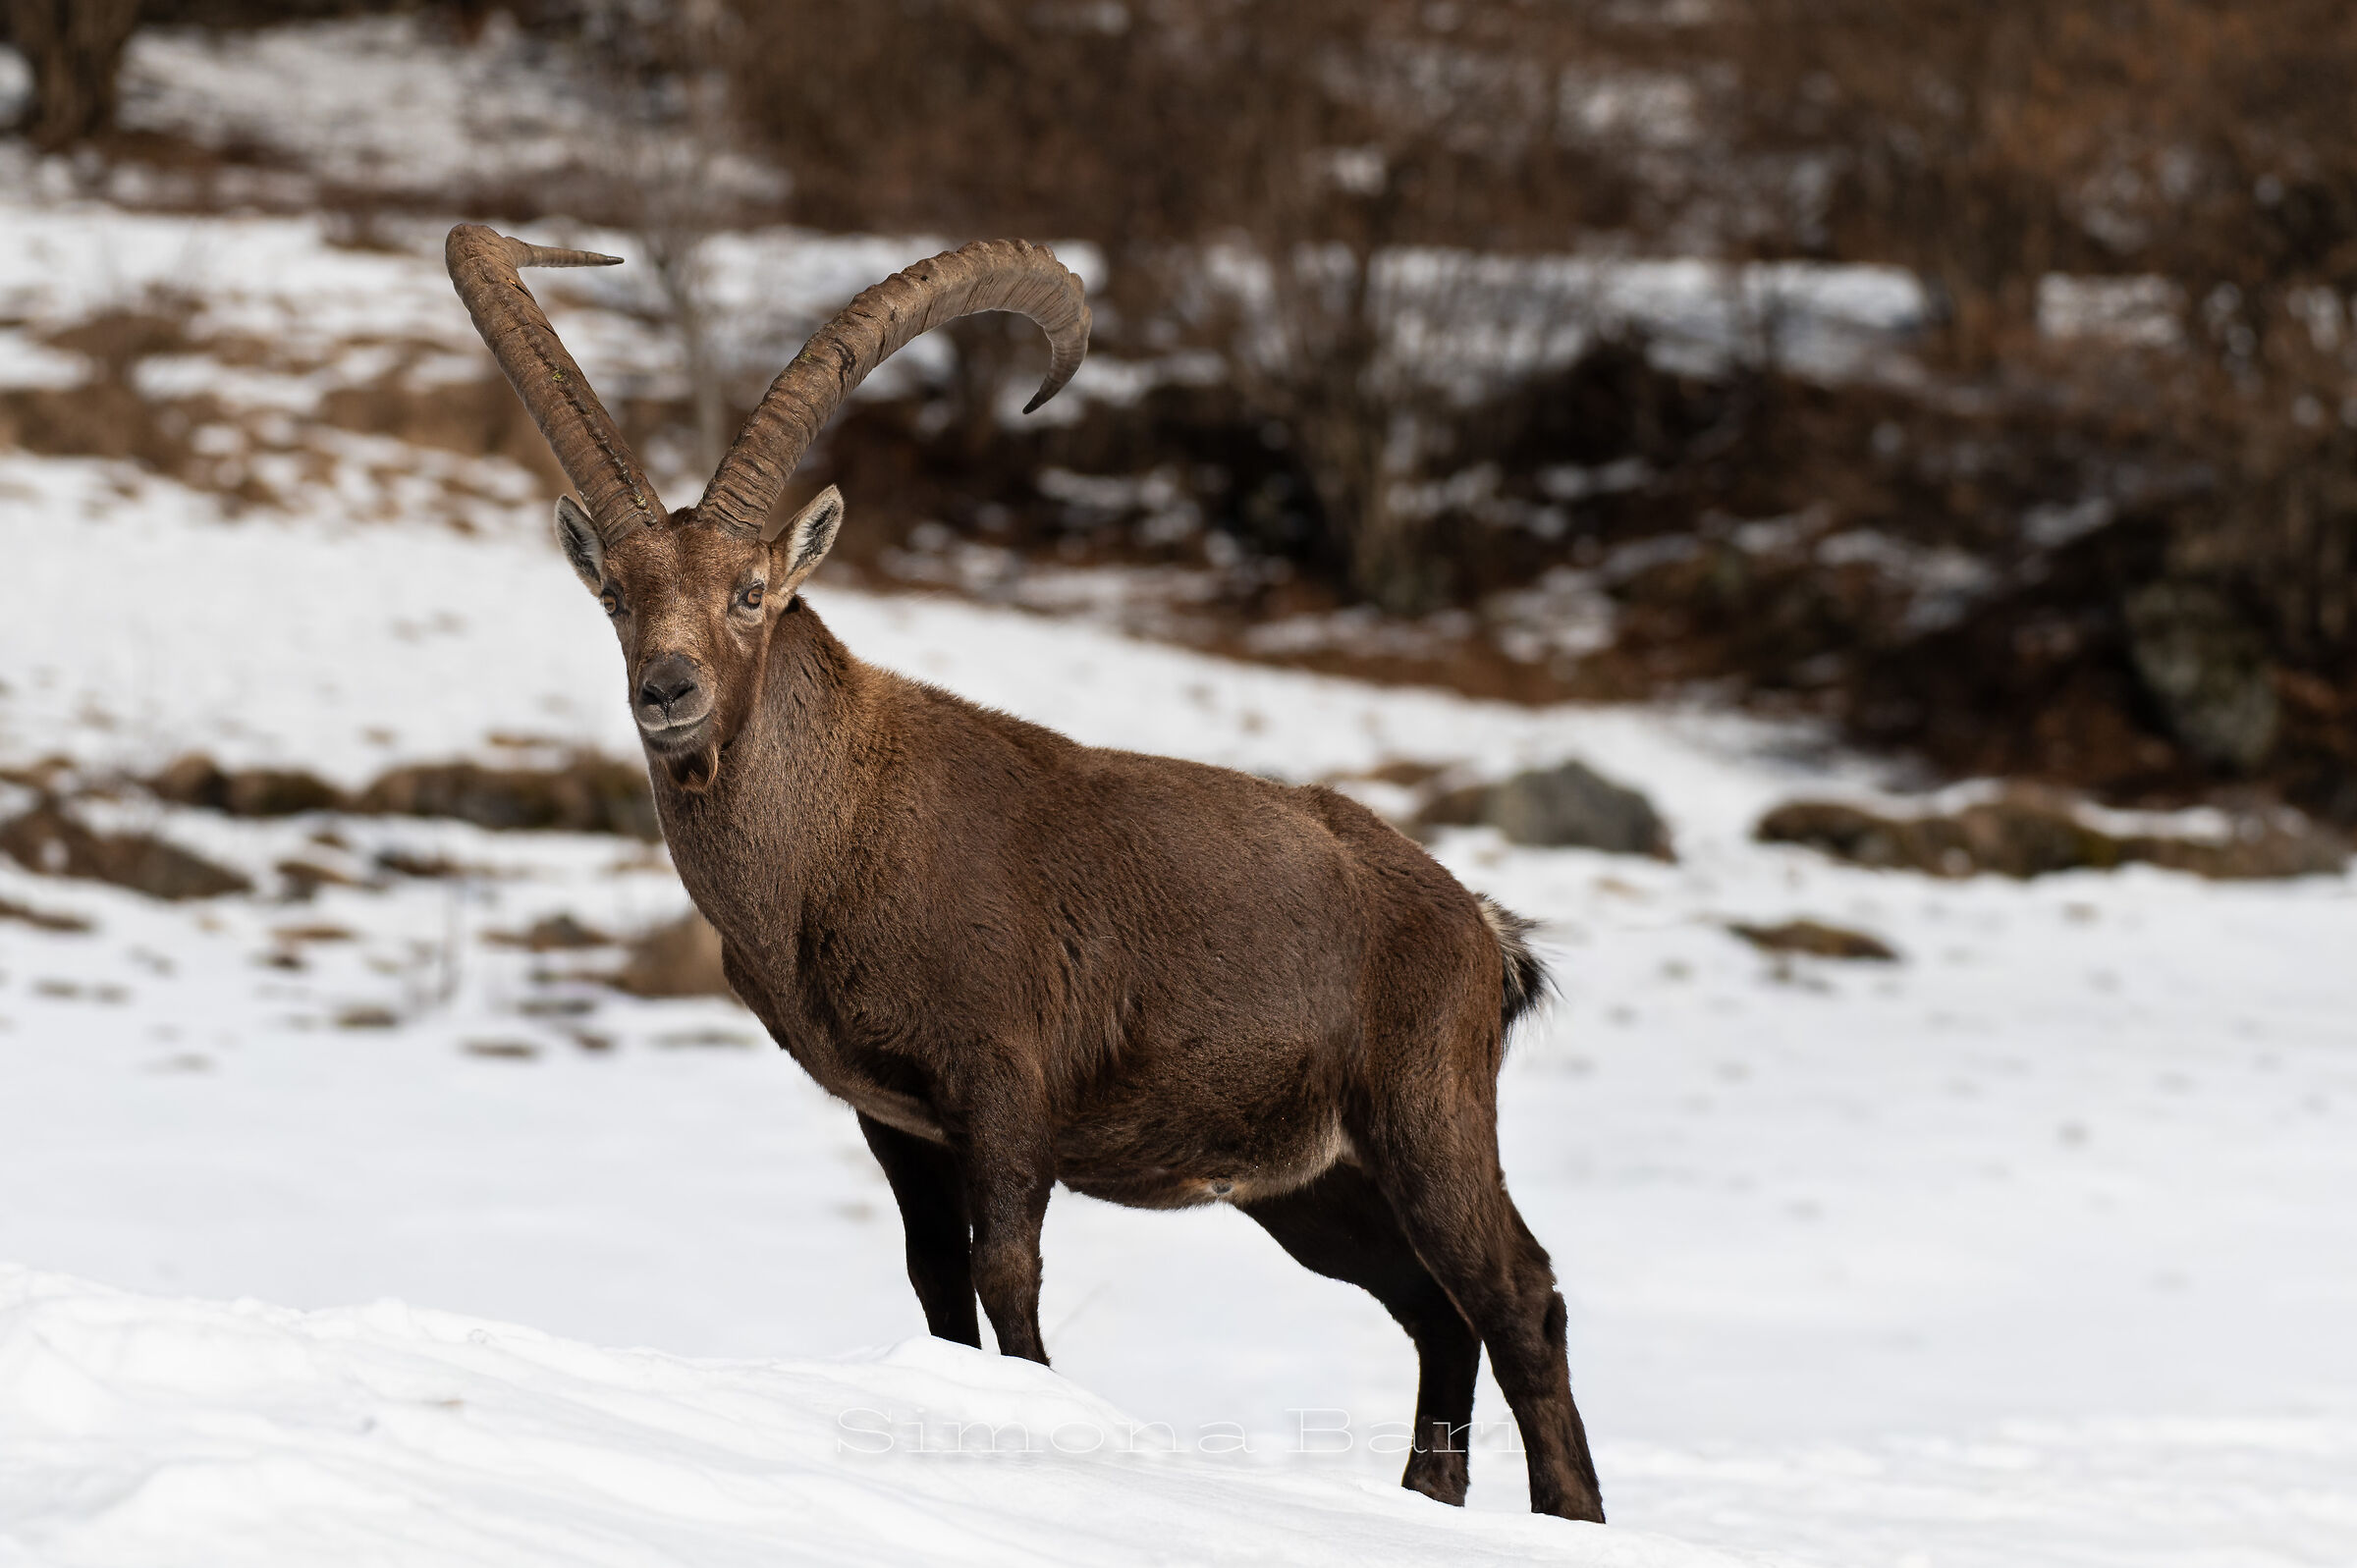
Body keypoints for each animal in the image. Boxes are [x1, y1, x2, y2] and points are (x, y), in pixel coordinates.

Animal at [445, 225, 1605, 1521]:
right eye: (616, 595)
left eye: (751, 592)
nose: (668, 690)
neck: (838, 831)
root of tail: (1478, 926)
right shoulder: (897, 1116)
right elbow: (936, 1288)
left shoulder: (1004, 1083)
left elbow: (1008, 1275)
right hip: (1313, 1185)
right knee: (1434, 1313)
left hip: (1426, 1115)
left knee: (1519, 1293)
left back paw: (1572, 1514)